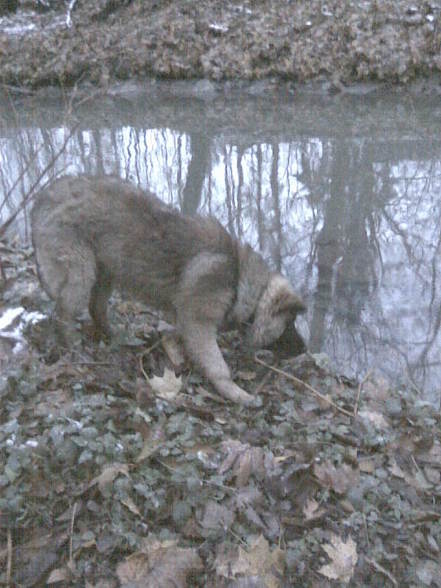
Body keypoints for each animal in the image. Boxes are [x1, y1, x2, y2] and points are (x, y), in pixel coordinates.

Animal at [31, 175, 306, 404]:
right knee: (64, 313)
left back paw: (114, 335)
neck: (240, 279)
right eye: (289, 324)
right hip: (81, 272)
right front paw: (233, 391)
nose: (304, 350)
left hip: (107, 269)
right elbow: (218, 367)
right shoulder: (198, 323)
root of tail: (44, 197)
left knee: (96, 307)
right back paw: (73, 346)